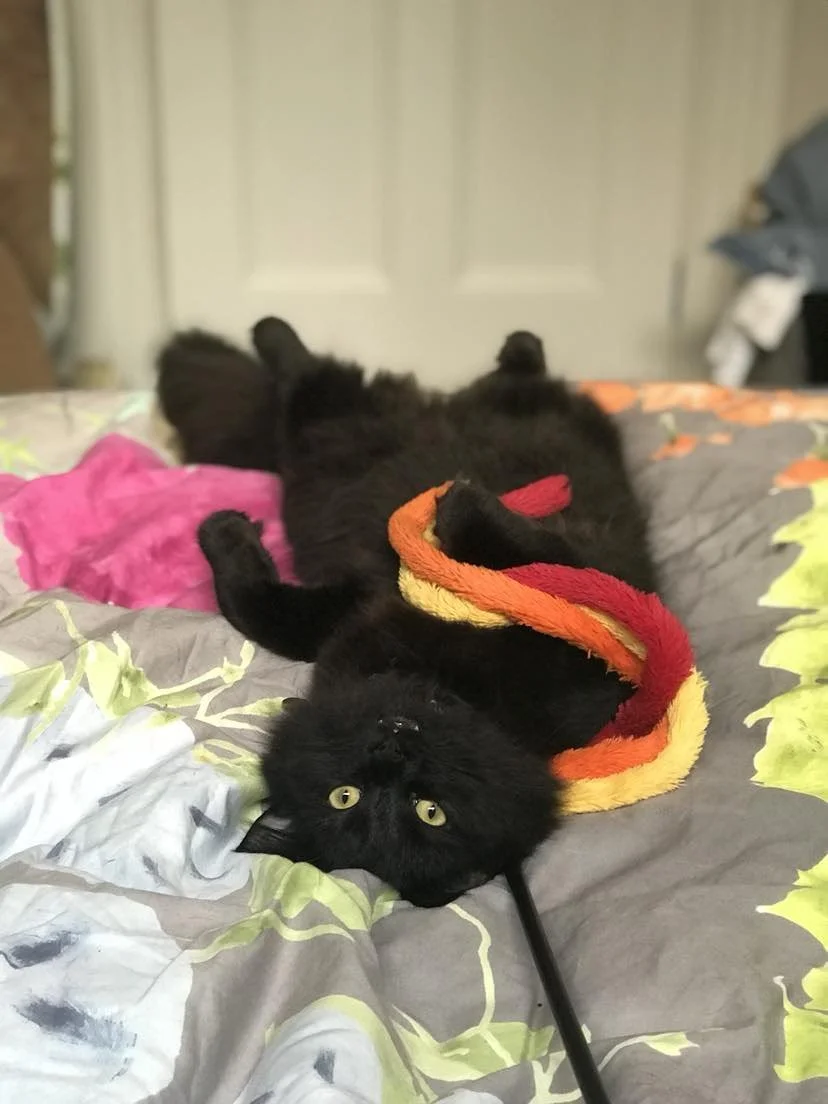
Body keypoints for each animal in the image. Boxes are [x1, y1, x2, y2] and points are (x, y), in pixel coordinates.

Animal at [157, 318, 656, 907]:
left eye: (431, 812)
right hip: (334, 432)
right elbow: (263, 609)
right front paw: (224, 531)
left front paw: (459, 504)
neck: (445, 684)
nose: (394, 749)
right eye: (345, 796)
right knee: (311, 375)